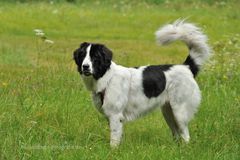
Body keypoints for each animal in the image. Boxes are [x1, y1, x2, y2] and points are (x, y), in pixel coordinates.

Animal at [73, 20, 210, 148]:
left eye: (95, 57)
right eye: (82, 56)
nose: (85, 67)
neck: (107, 78)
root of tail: (187, 67)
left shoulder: (115, 115)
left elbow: (114, 139)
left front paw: (113, 151)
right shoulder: (111, 116)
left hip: (179, 112)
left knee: (185, 135)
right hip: (168, 112)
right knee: (177, 134)